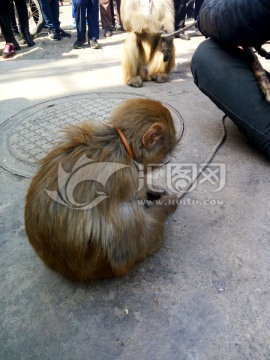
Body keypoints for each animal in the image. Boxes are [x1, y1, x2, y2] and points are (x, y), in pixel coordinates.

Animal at [24, 97, 178, 282]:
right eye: (166, 151)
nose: (166, 159)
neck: (121, 145)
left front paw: (152, 191)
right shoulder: (123, 179)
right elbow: (127, 250)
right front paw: (168, 203)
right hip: (100, 264)